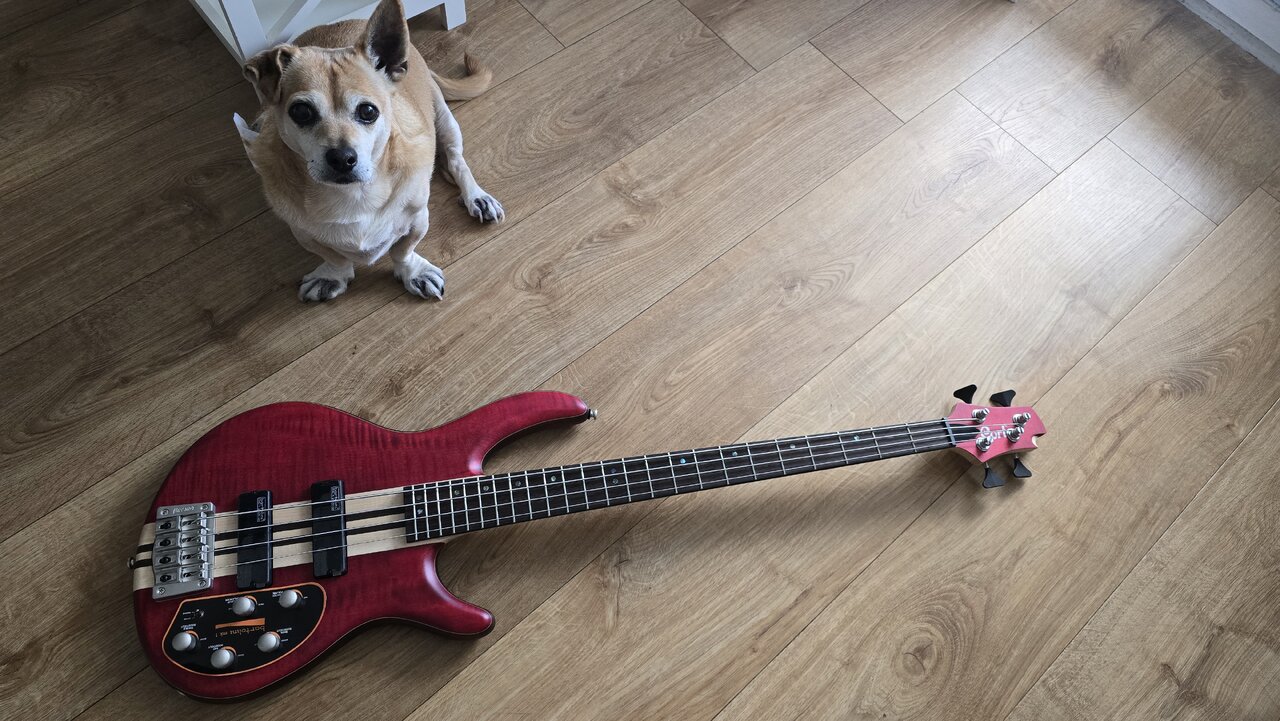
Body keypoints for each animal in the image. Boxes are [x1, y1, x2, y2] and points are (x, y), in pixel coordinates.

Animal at [234, 0, 502, 302]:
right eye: (301, 112)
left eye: (368, 111)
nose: (342, 158)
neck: (353, 194)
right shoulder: (304, 233)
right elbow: (335, 257)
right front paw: (333, 276)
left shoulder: (417, 219)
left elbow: (403, 250)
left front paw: (413, 272)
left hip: (445, 120)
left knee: (457, 161)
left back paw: (477, 197)